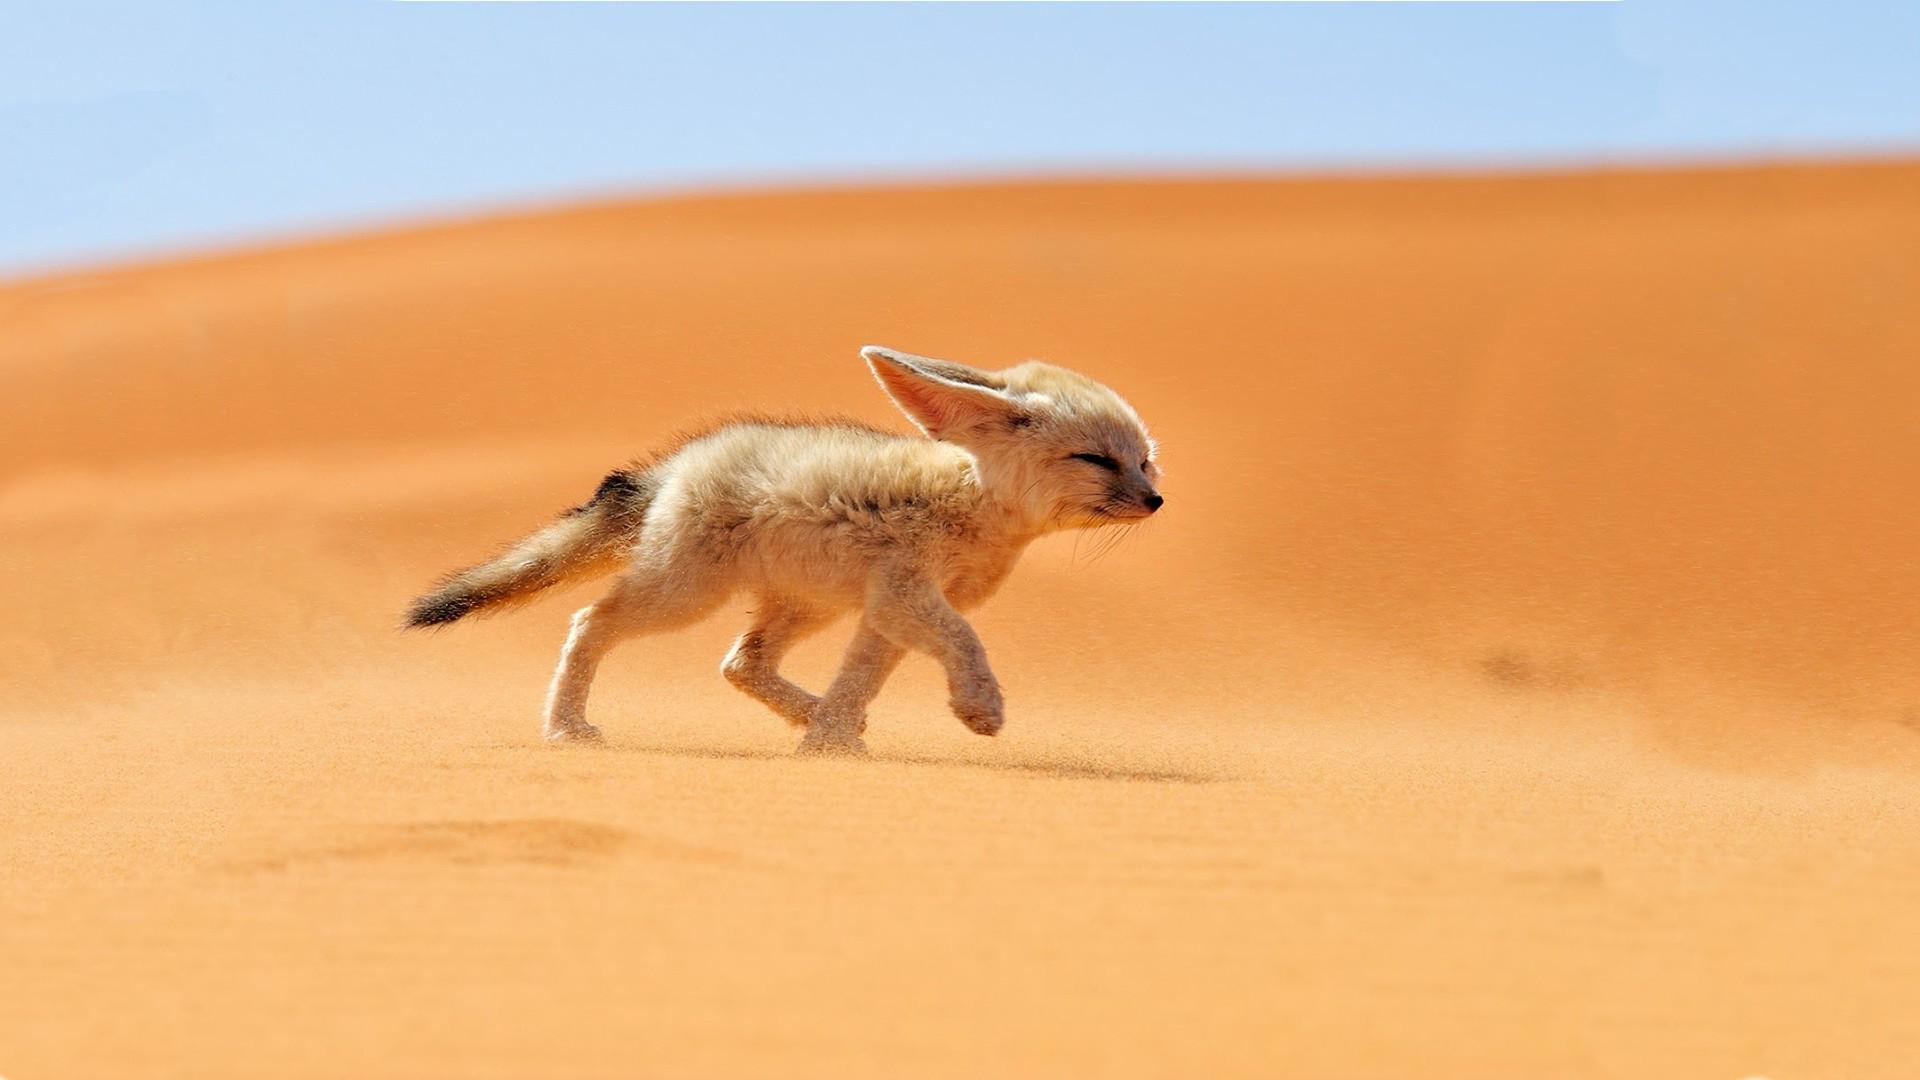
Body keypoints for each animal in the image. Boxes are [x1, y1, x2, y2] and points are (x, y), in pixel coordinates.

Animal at [404, 345, 1163, 755]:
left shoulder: (886, 611)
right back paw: (565, 728)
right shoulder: (907, 596)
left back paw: (816, 716)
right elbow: (965, 641)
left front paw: (828, 742)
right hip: (684, 596)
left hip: (806, 606)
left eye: (1144, 462)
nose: (1156, 501)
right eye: (1096, 460)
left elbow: (861, 677)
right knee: (590, 621)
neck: (972, 503)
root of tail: (678, 463)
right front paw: (980, 707)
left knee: (740, 663)